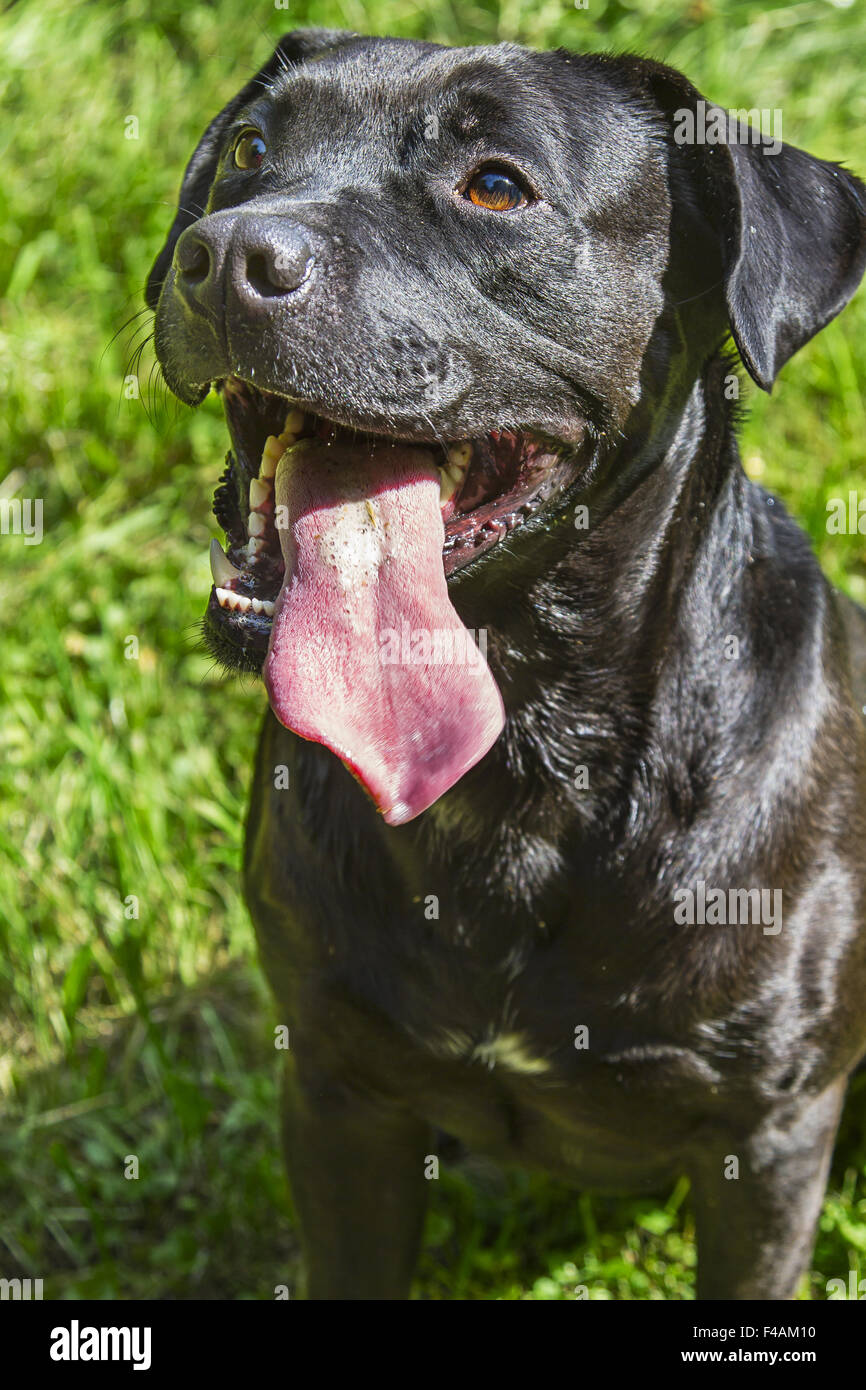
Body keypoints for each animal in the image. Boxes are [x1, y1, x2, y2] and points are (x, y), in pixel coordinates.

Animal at [148, 32, 866, 1295]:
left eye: (493, 185)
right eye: (247, 150)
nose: (225, 252)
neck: (522, 757)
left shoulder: (768, 1137)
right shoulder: (339, 1091)